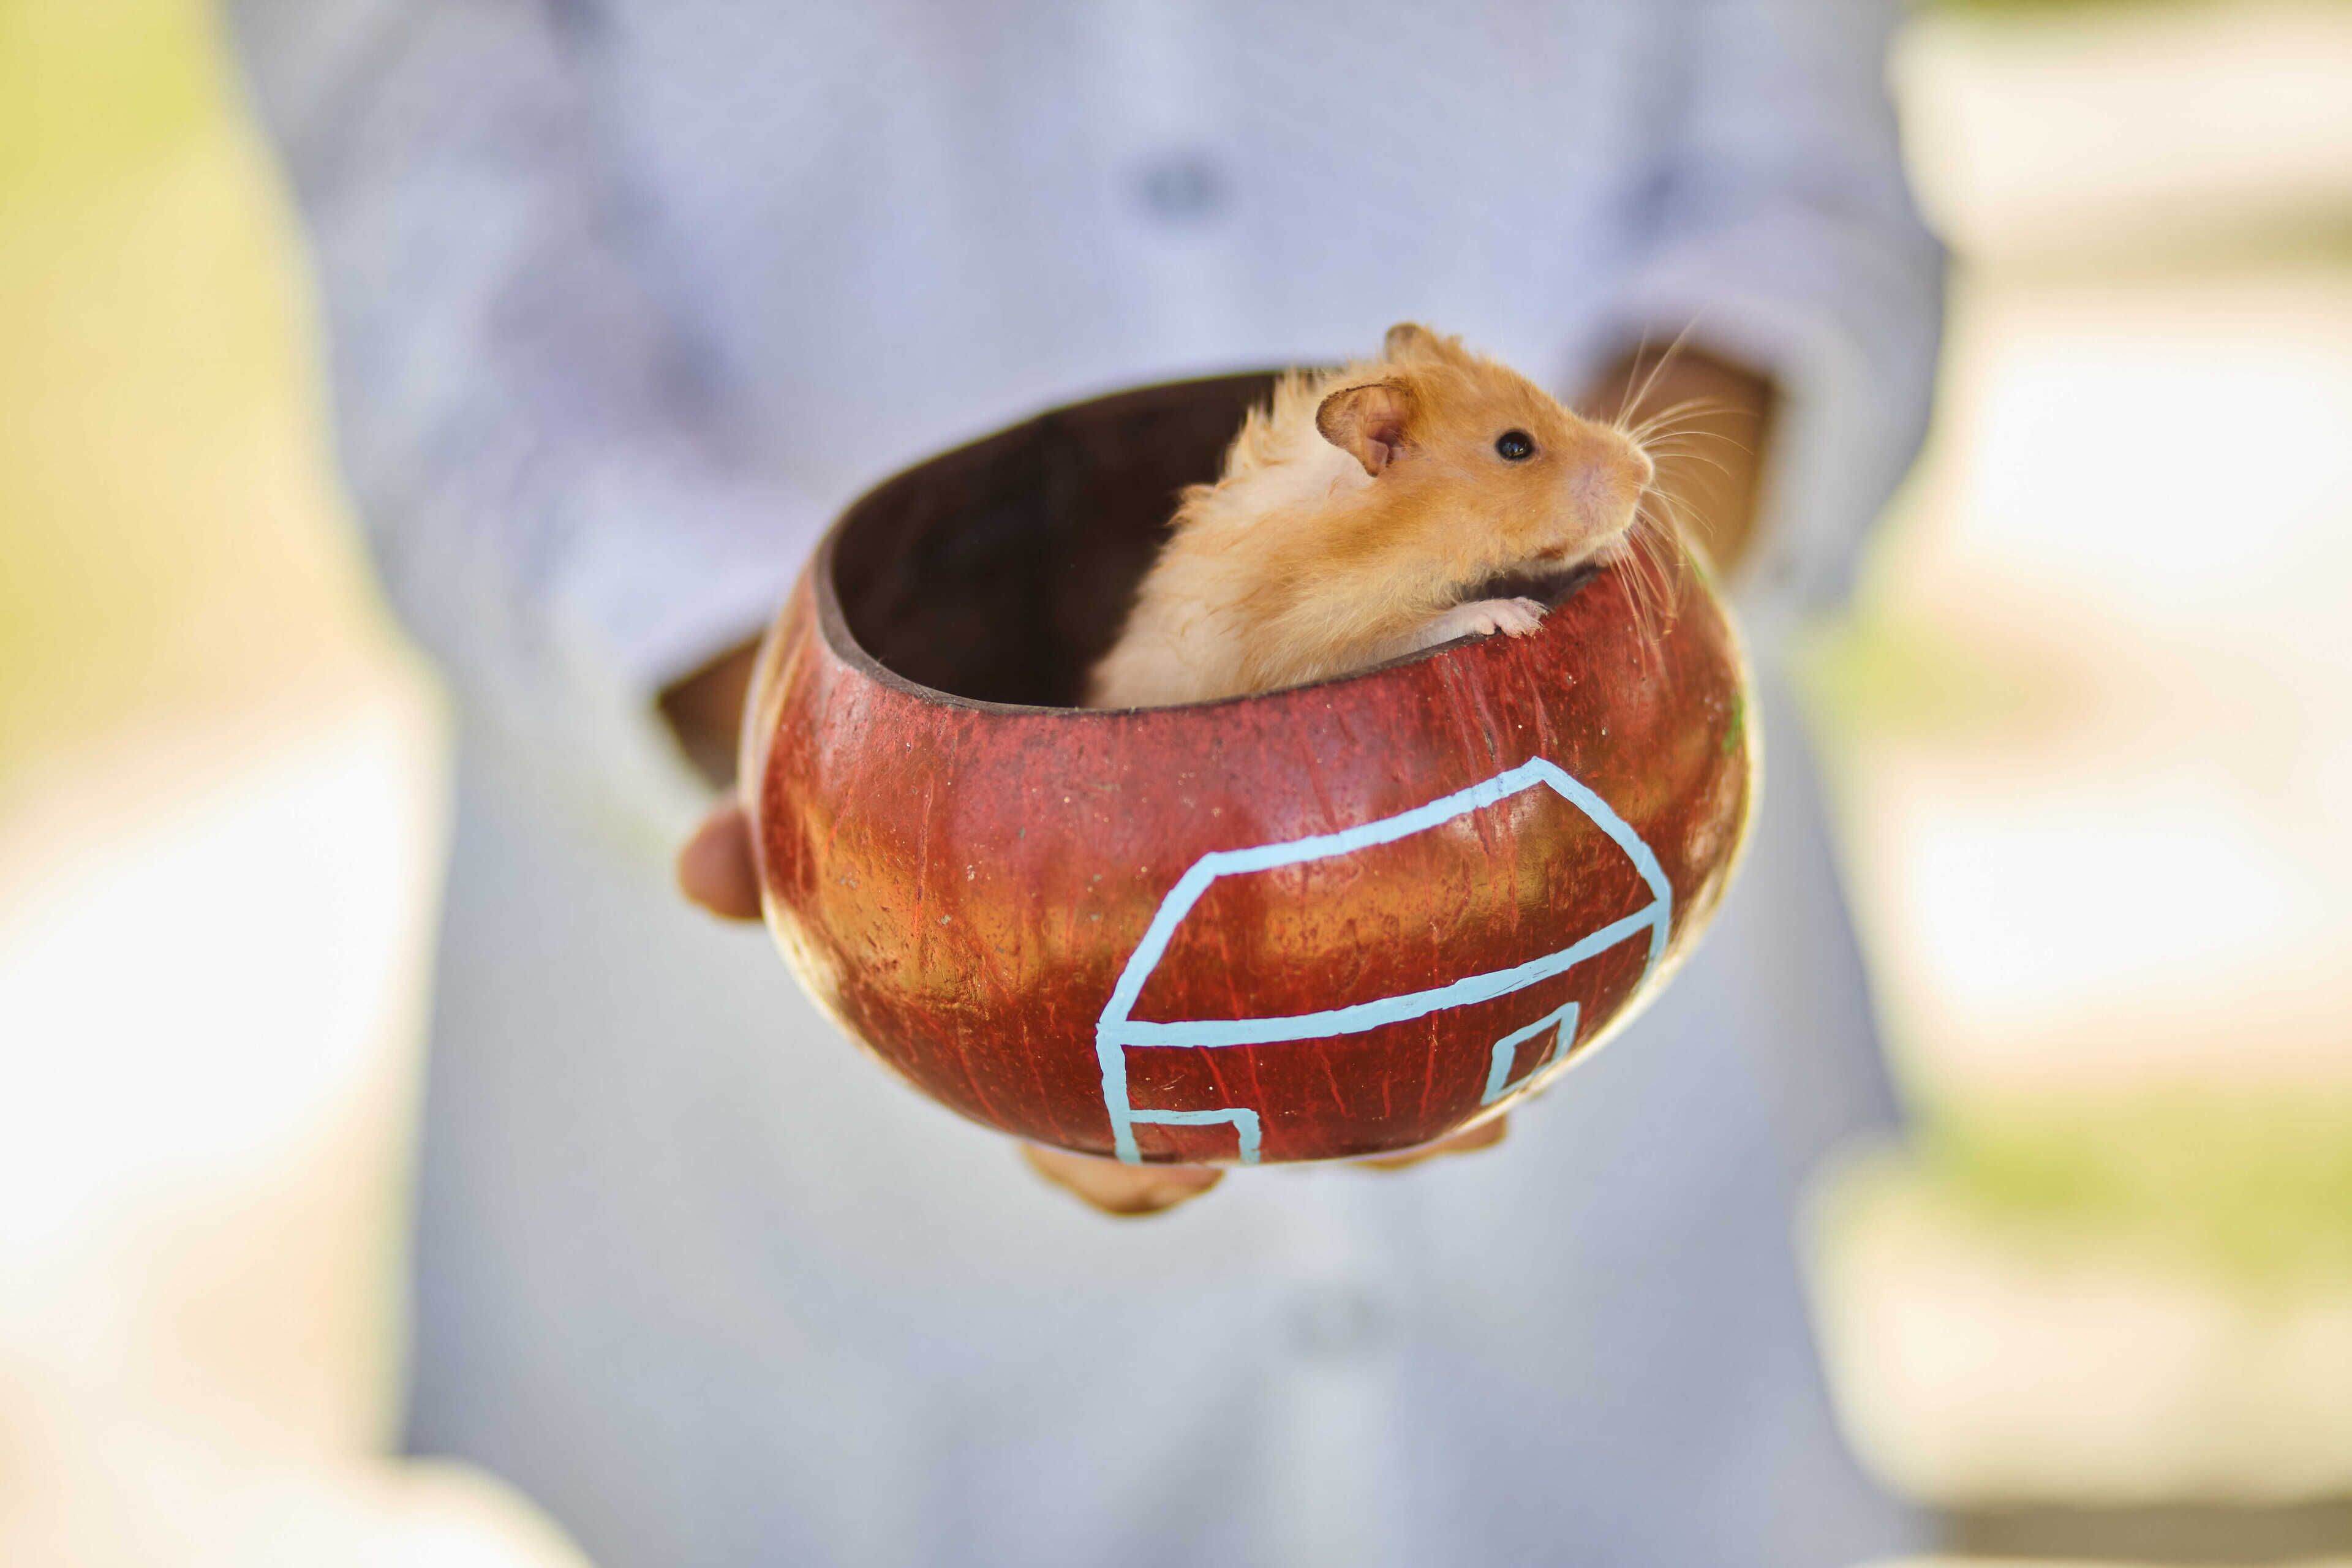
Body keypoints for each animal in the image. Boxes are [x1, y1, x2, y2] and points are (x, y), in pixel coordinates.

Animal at [1085, 323, 1658, 709]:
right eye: (1514, 446)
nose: (1644, 472)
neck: (1385, 537)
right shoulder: (1312, 648)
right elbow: (1418, 630)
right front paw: (1518, 616)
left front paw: (1614, 550)